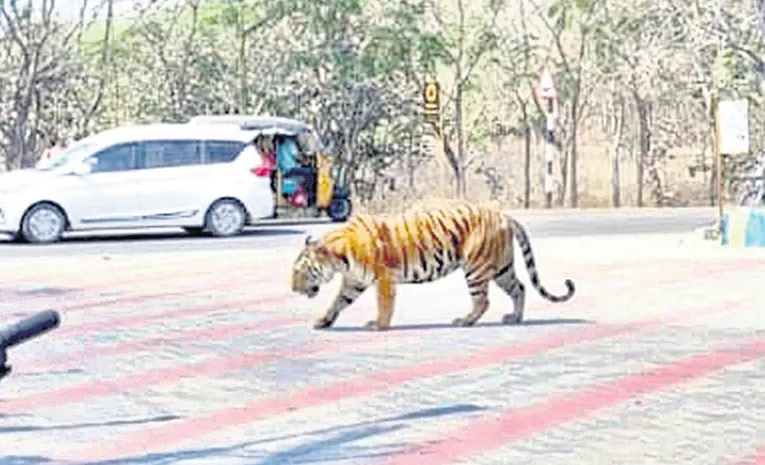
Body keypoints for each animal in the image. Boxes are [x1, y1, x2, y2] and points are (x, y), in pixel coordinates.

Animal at [290, 199, 575, 331]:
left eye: (300, 271)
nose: (293, 289)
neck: (339, 259)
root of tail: (504, 215)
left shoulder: (383, 278)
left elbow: (384, 304)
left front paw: (378, 325)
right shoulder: (354, 281)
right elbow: (338, 302)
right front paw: (323, 321)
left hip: (476, 268)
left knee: (483, 300)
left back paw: (464, 321)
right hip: (501, 268)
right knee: (520, 288)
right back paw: (515, 317)